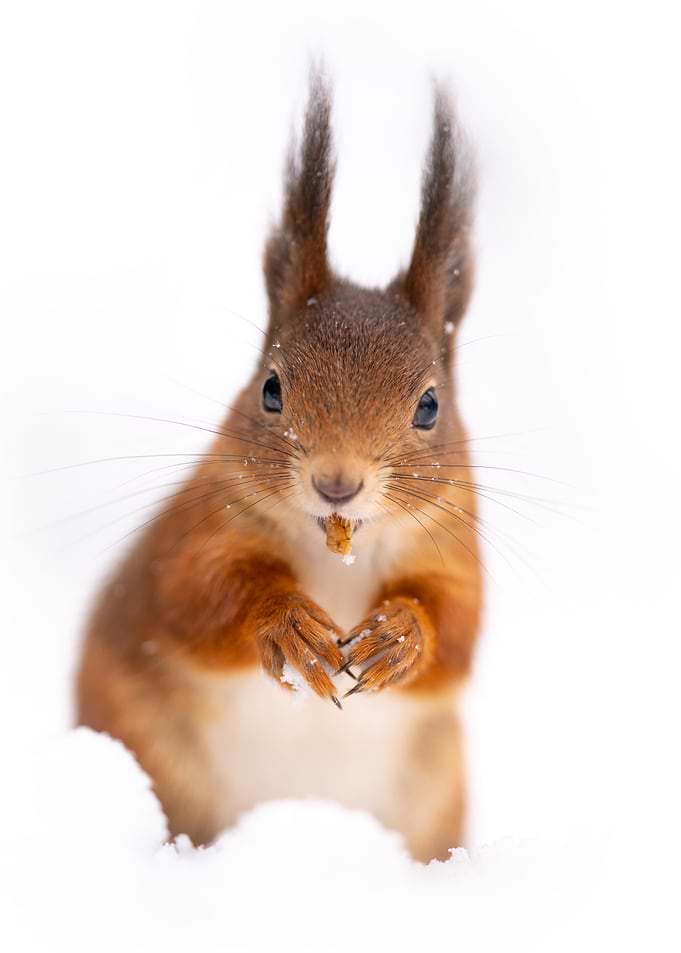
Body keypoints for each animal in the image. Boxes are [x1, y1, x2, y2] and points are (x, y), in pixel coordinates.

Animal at [76, 68, 482, 863]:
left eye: (429, 406)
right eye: (270, 389)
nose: (337, 483)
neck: (340, 549)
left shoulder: (455, 546)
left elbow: (457, 628)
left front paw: (401, 635)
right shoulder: (197, 527)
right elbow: (194, 593)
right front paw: (286, 621)